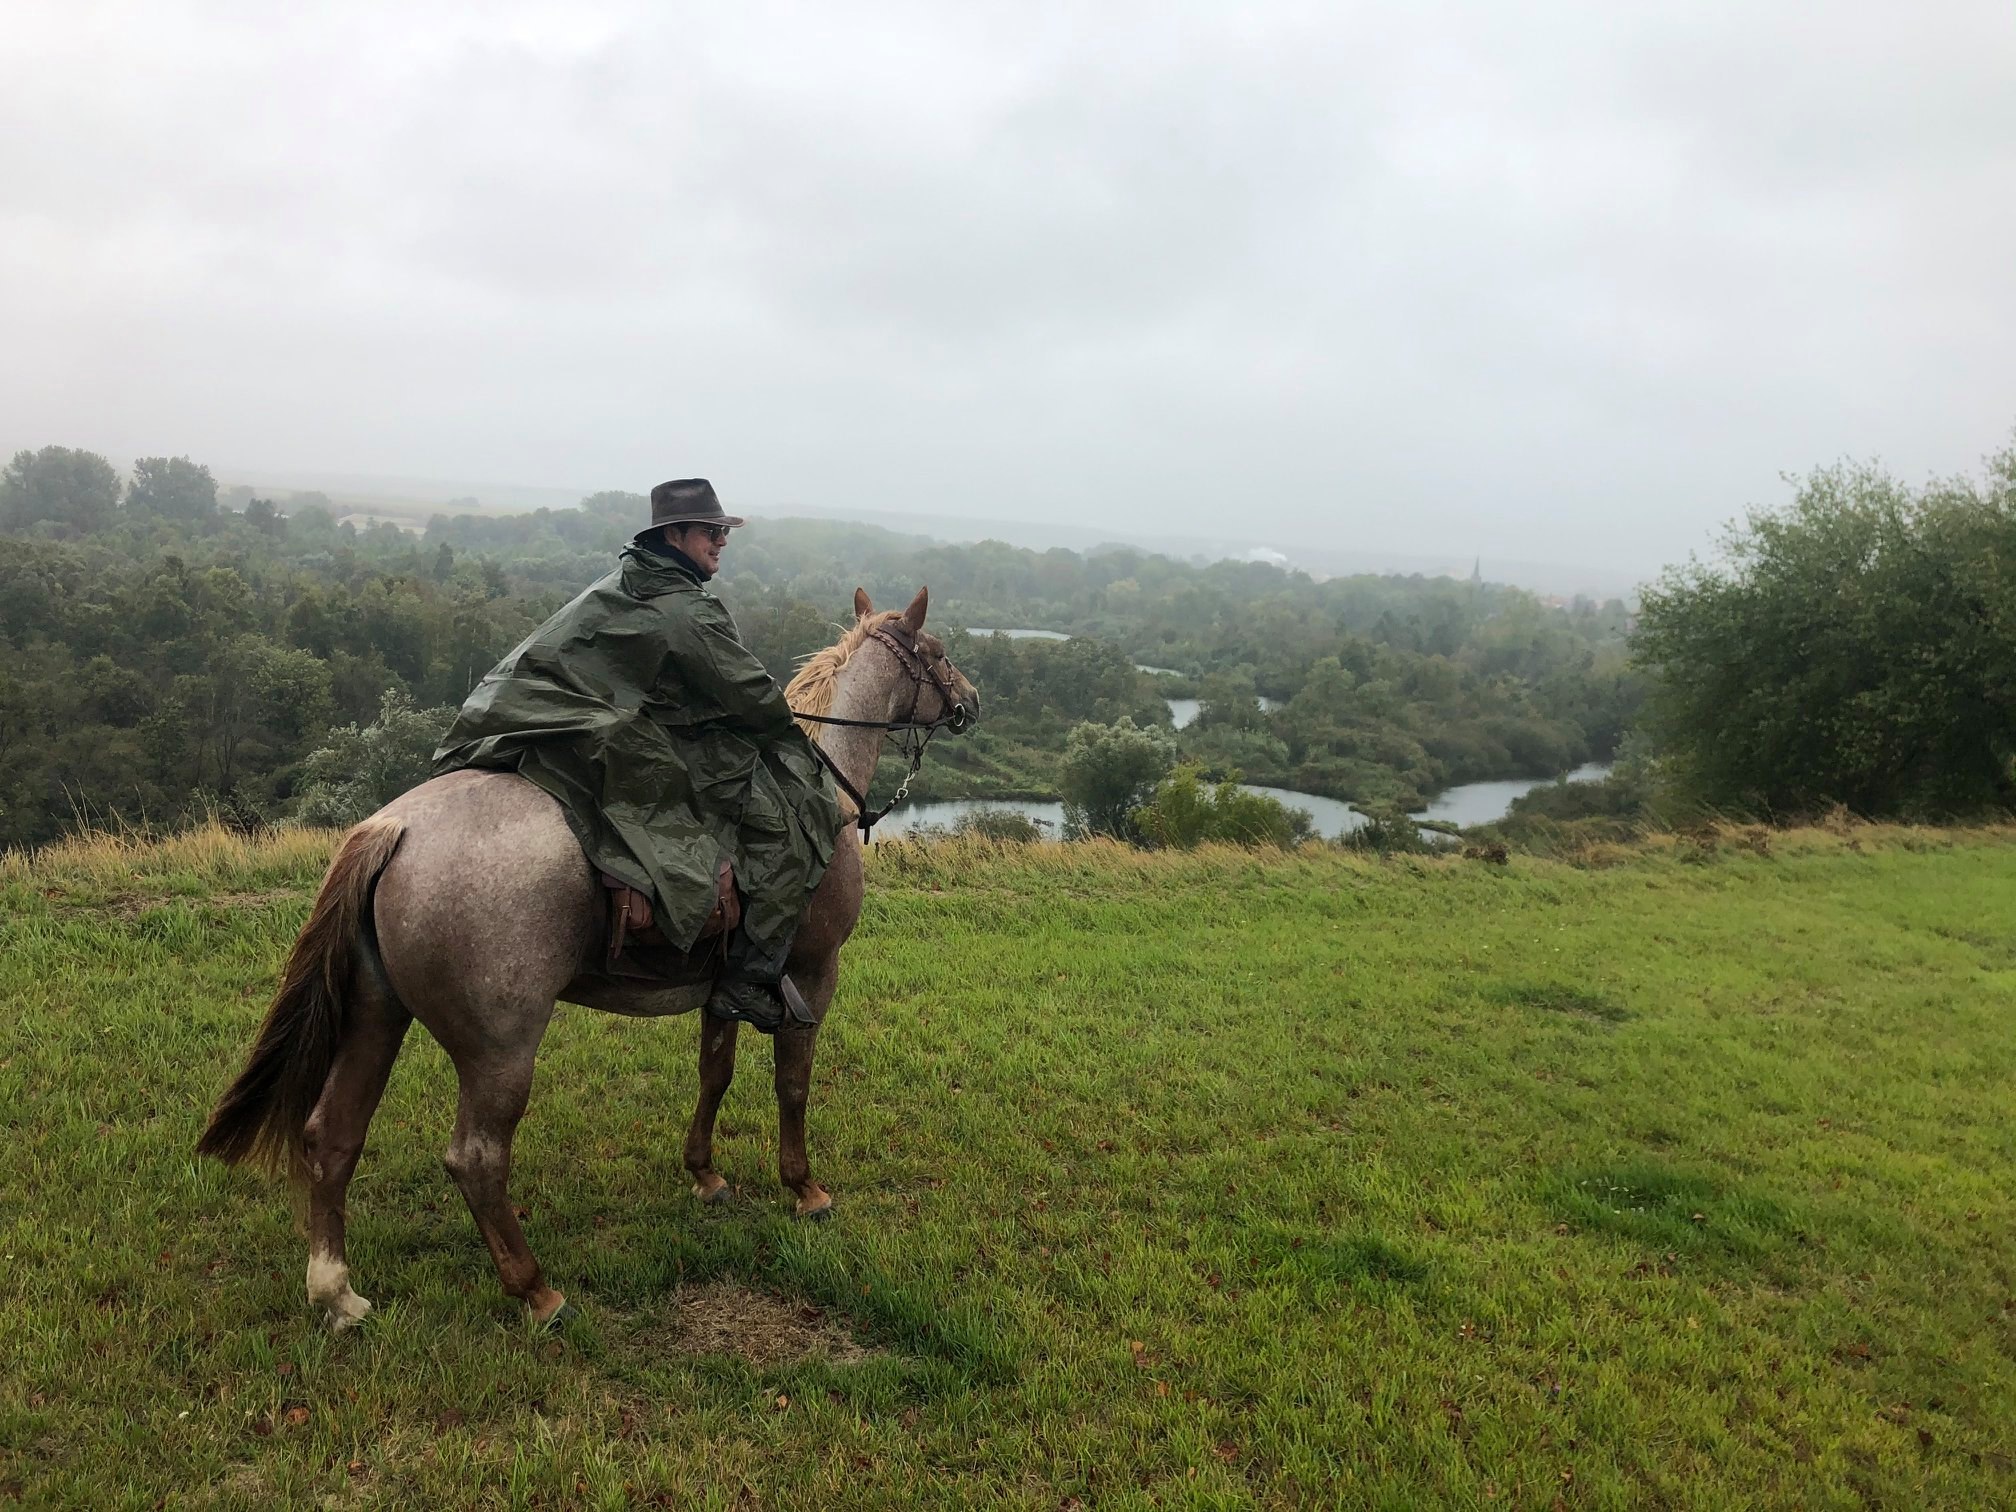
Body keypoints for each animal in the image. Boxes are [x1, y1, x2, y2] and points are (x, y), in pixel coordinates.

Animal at [194, 584, 975, 1330]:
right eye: (936, 652)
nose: (969, 700)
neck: (822, 796)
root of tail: (395, 829)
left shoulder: (725, 987)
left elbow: (715, 1074)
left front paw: (705, 1175)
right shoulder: (812, 974)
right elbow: (793, 1085)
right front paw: (804, 1187)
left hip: (376, 1017)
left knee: (332, 1136)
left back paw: (337, 1294)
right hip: (501, 1049)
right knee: (476, 1159)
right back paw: (535, 1291)